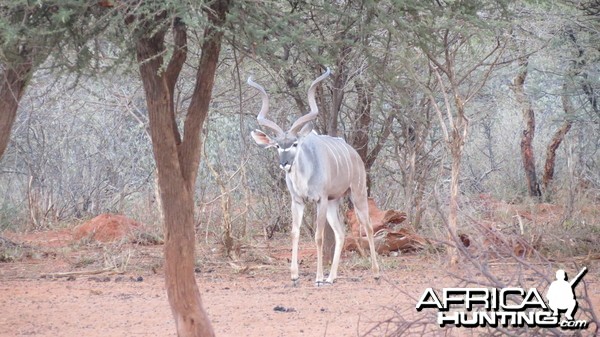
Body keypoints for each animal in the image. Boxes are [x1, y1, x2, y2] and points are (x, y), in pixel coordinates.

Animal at [248, 69, 380, 286]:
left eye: (294, 144)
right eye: (277, 146)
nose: (284, 163)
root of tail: (354, 154)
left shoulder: (320, 199)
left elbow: (318, 236)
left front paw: (318, 278)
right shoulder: (298, 201)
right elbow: (295, 233)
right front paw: (294, 276)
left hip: (357, 193)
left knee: (368, 226)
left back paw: (375, 273)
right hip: (335, 201)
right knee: (340, 232)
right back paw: (331, 278)